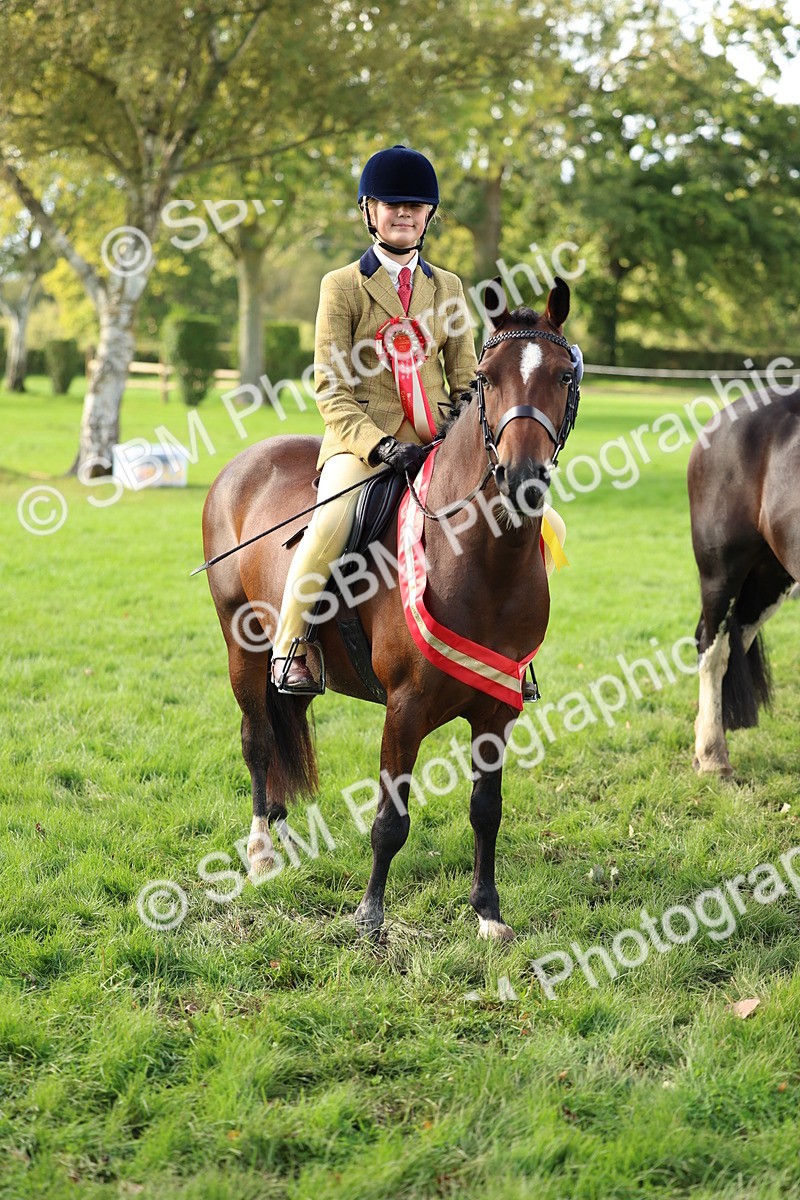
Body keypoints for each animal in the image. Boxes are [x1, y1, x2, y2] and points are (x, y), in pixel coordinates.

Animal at [201, 278, 581, 939]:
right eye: (487, 379)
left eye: (562, 375)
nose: (521, 477)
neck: (482, 559)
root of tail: (242, 464)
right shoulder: (404, 709)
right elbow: (390, 818)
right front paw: (370, 916)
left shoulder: (497, 710)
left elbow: (486, 811)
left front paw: (488, 915)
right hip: (241, 648)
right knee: (258, 740)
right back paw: (262, 851)